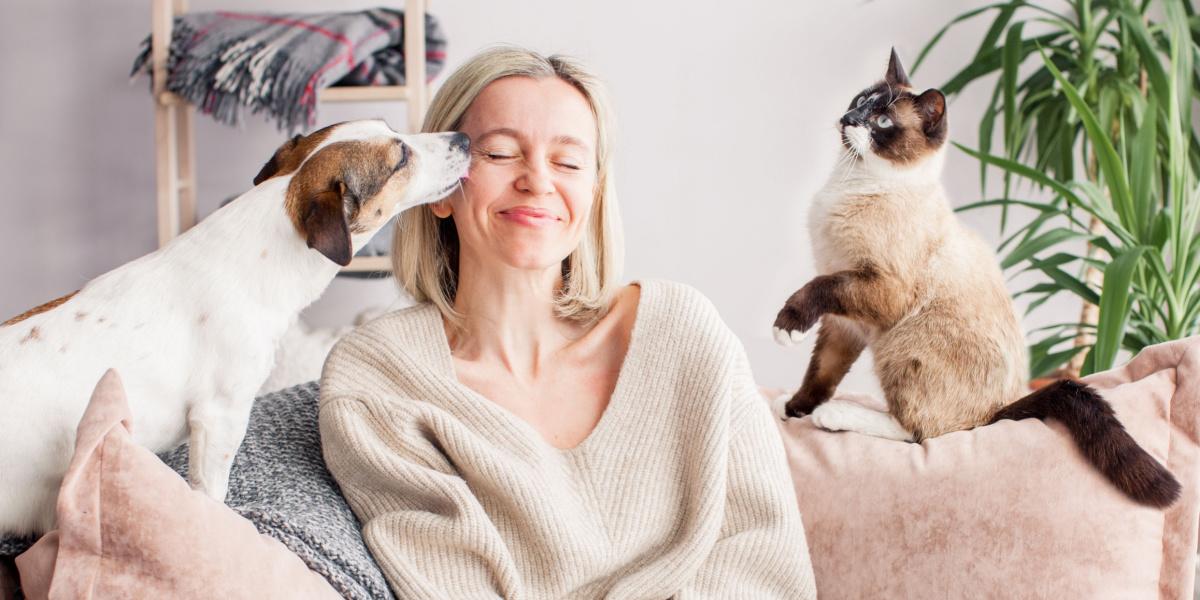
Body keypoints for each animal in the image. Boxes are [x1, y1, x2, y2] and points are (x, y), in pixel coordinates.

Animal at [768, 48, 1180, 506]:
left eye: (883, 122)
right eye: (860, 101)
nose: (848, 118)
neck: (852, 183)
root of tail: (997, 413)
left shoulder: (874, 289)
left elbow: (815, 292)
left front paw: (787, 329)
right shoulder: (845, 323)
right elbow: (821, 373)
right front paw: (793, 409)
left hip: (902, 342)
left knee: (922, 433)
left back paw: (835, 417)